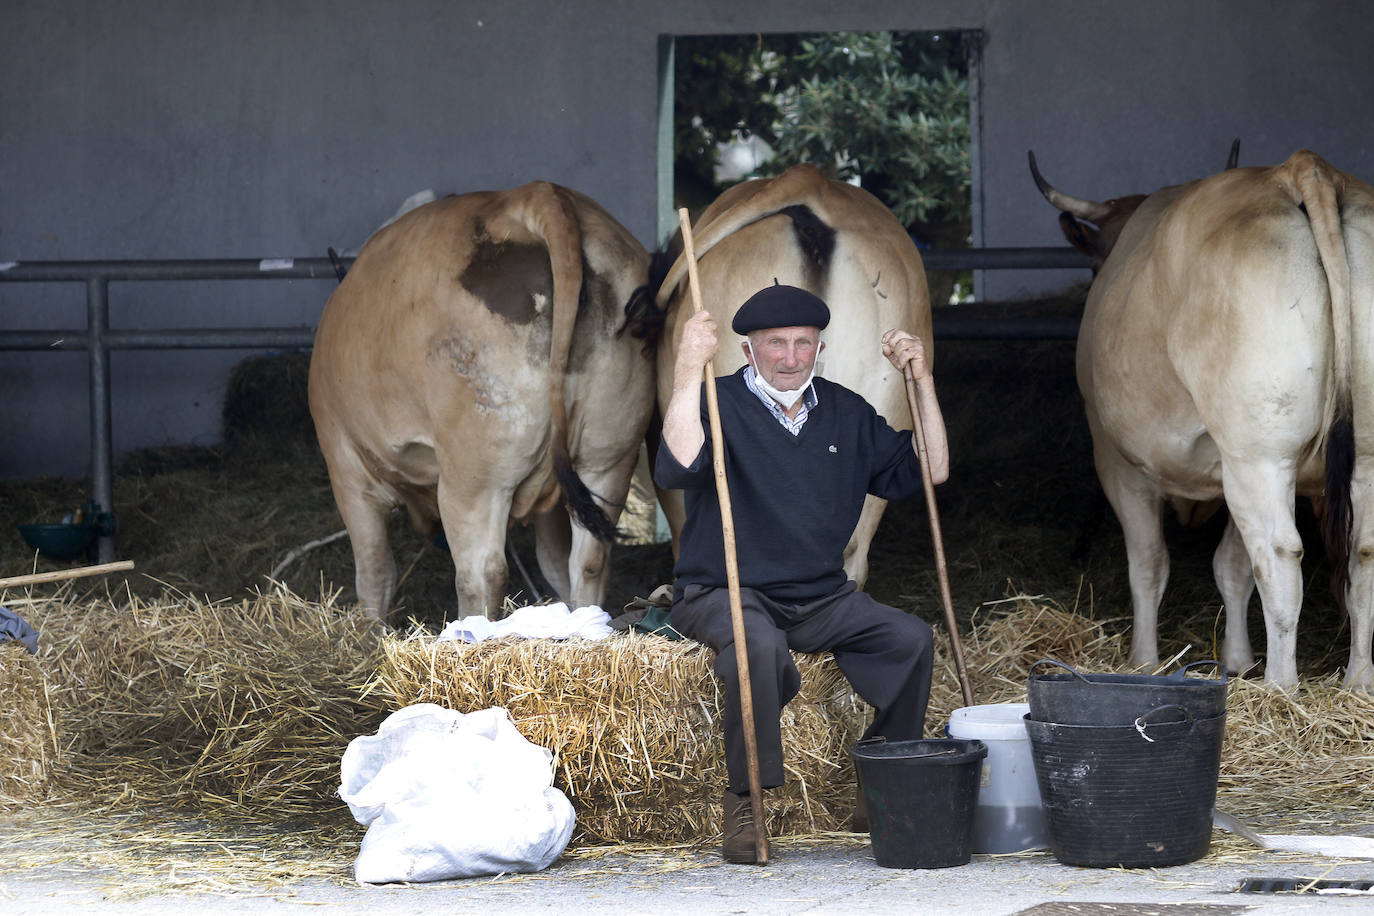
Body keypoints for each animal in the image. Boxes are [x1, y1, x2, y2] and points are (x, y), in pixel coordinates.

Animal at [311, 181, 654, 620]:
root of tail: (537, 195)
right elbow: (553, 560)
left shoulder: (347, 469)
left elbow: (374, 573)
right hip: (608, 458)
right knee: (590, 560)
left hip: (473, 479)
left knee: (481, 572)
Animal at [1033, 150, 1374, 692]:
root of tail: (1301, 168)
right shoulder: (1224, 467)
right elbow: (1231, 567)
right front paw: (1236, 660)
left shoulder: (1118, 461)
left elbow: (1148, 564)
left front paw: (1144, 662)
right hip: (1347, 455)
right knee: (1362, 552)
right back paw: (1358, 683)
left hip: (1260, 458)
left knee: (1279, 555)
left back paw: (1280, 686)